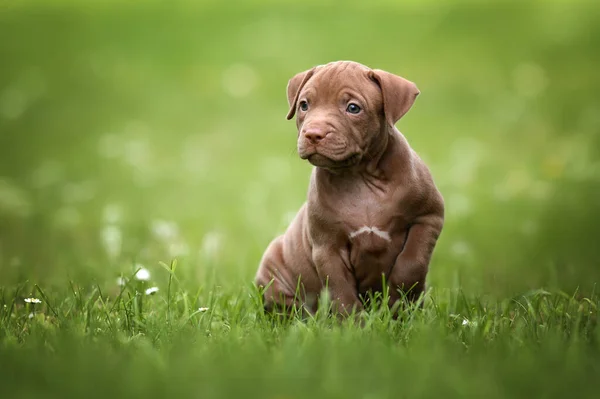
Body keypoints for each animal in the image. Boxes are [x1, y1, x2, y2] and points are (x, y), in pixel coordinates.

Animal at [254, 61, 446, 318]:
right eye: (304, 105)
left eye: (353, 108)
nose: (313, 134)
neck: (359, 176)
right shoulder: (328, 248)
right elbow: (341, 291)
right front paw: (354, 325)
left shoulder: (429, 216)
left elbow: (412, 262)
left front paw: (398, 305)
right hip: (273, 267)